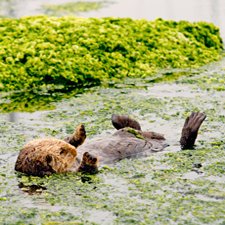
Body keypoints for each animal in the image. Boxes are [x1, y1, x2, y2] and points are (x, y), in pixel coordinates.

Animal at [14, 111, 207, 177]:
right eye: (61, 153)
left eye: (59, 145)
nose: (74, 151)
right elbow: (89, 170)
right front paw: (89, 157)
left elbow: (71, 138)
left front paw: (79, 132)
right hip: (161, 144)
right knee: (185, 143)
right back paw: (193, 123)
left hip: (147, 134)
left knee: (135, 128)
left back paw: (119, 119)